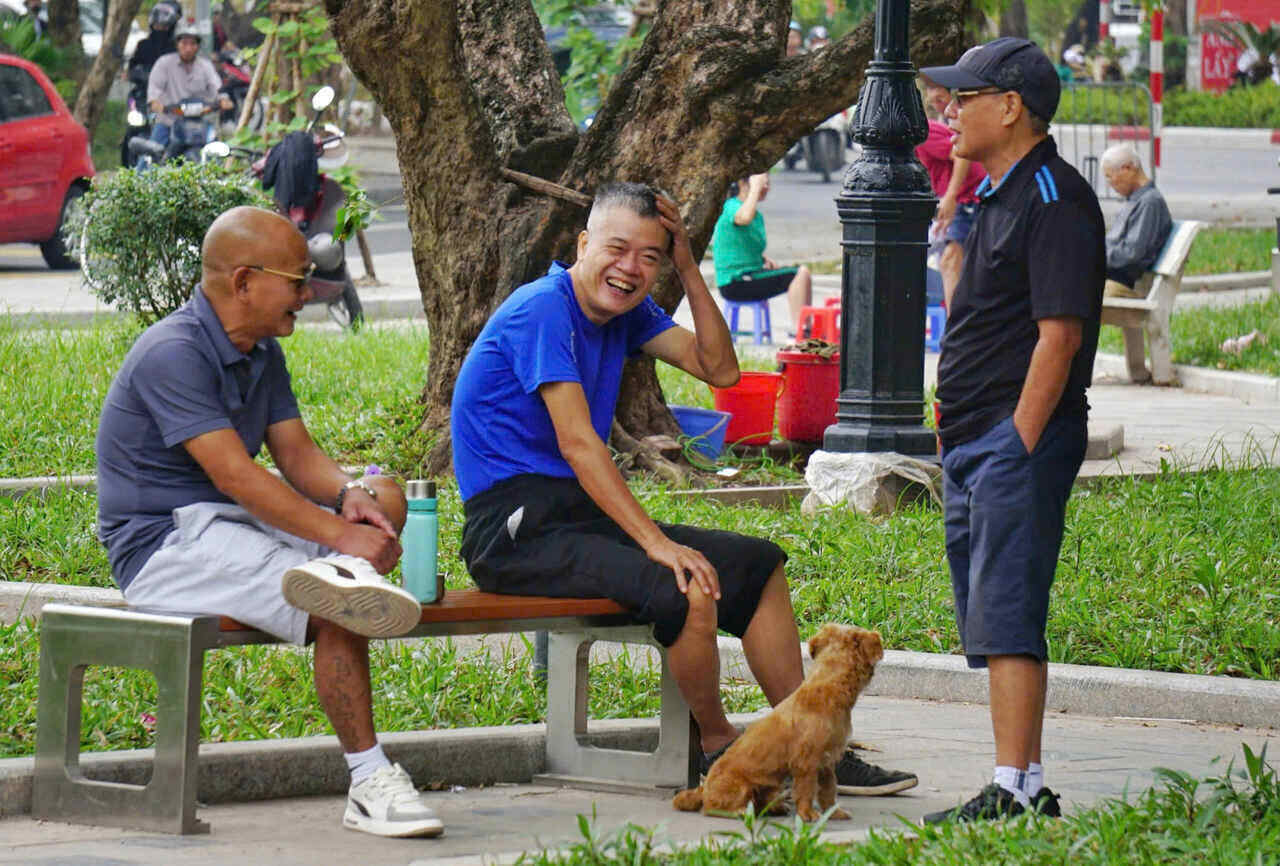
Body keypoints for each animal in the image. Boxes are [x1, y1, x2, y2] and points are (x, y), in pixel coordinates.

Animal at [675, 624, 885, 818]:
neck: (826, 687)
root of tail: (703, 789)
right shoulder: (807, 762)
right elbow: (807, 789)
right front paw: (807, 814)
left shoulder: (827, 762)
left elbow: (828, 791)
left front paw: (833, 813)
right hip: (739, 787)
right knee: (712, 807)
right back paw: (740, 811)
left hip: (770, 785)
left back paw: (775, 808)